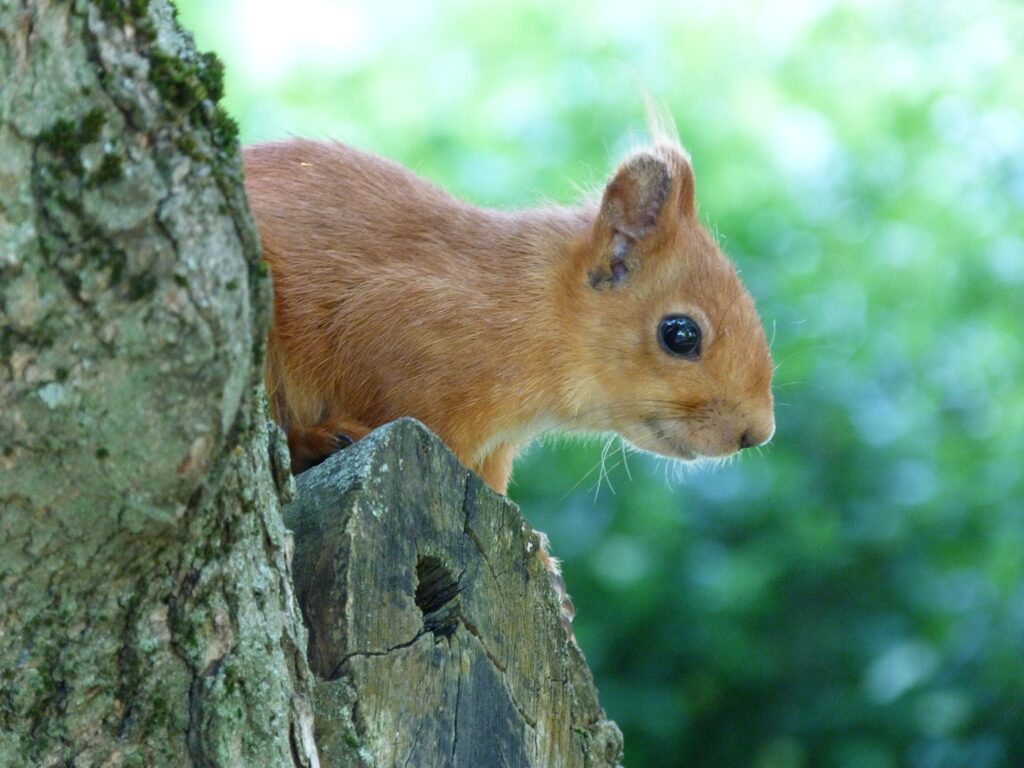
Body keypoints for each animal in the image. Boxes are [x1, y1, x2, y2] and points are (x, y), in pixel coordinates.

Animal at [243, 132, 775, 626]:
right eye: (680, 334)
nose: (757, 433)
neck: (529, 312)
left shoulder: (491, 455)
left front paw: (542, 560)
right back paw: (318, 439)